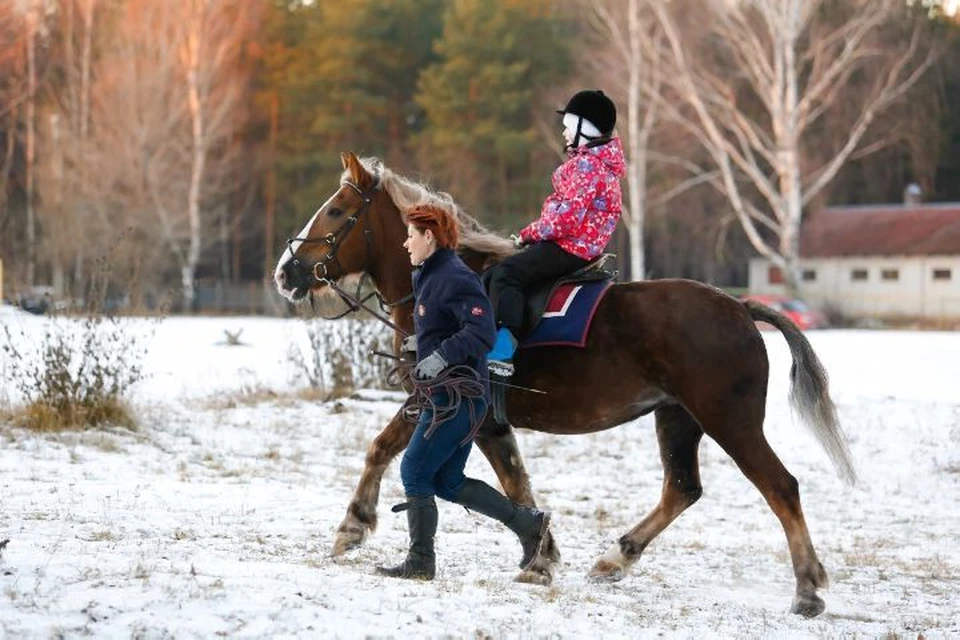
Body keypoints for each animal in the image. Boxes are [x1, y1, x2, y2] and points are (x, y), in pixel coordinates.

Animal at [276, 150, 856, 616]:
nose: (286, 272)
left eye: (336, 211)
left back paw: (807, 589)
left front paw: (352, 525)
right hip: (677, 418)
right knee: (682, 488)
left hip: (728, 420)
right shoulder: (485, 423)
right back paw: (615, 559)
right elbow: (514, 482)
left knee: (781, 487)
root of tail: (740, 307)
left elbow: (381, 448)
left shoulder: (434, 400)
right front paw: (542, 555)